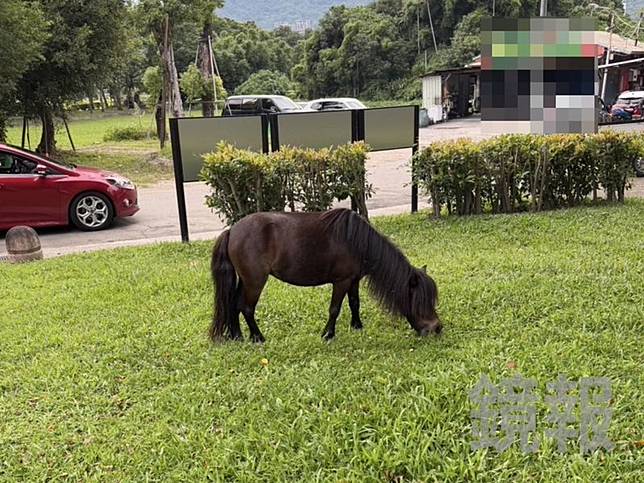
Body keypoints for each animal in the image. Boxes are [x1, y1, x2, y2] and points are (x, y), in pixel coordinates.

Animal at [210, 208, 441, 343]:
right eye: (420, 301)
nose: (437, 328)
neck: (358, 242)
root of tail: (232, 230)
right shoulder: (342, 281)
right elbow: (335, 309)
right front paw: (328, 334)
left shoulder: (354, 280)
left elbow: (354, 303)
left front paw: (357, 326)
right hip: (255, 281)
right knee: (246, 307)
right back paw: (258, 337)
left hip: (245, 280)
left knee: (233, 304)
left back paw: (237, 336)